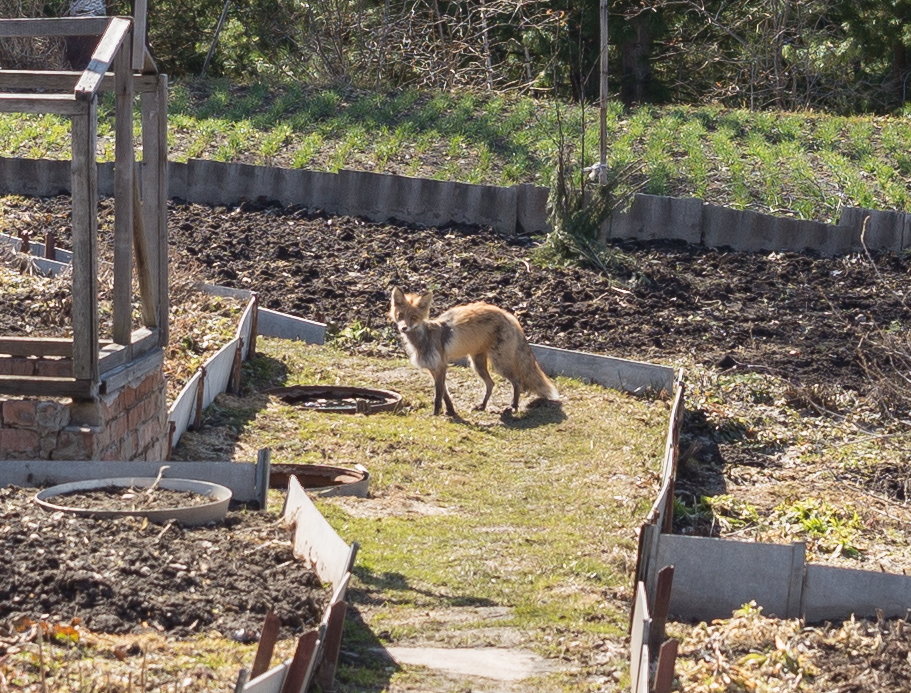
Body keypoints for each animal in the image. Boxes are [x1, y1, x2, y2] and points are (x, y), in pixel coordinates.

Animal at [388, 286, 560, 416]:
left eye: (414, 317)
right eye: (400, 315)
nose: (403, 328)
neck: (423, 340)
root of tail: (508, 314)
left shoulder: (441, 366)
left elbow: (438, 395)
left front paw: (435, 415)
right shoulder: (433, 369)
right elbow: (445, 394)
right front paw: (451, 412)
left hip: (499, 364)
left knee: (517, 382)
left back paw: (513, 407)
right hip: (477, 364)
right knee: (491, 384)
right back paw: (482, 406)